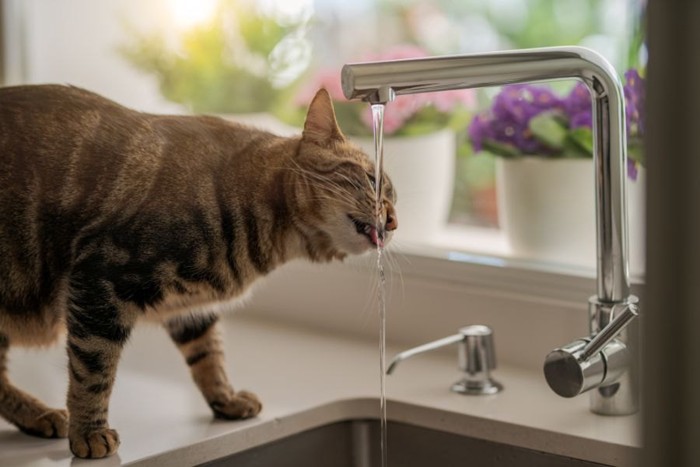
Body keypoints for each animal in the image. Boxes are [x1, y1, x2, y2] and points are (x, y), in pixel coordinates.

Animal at [0, 86, 396, 458]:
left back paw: (37, 414)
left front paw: (226, 398)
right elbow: (93, 371)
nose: (393, 221)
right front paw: (88, 431)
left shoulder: (190, 309)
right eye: (372, 179)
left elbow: (209, 354)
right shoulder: (101, 279)